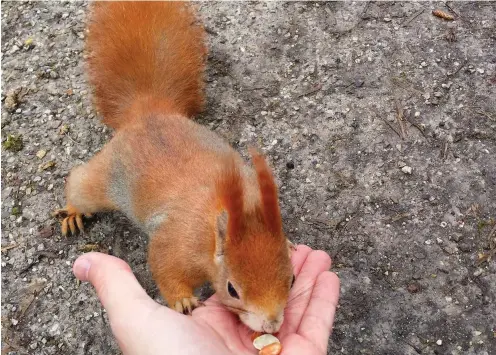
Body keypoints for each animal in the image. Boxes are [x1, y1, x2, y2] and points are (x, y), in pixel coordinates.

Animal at [54, 1, 294, 334]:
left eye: (292, 279)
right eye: (232, 289)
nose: (271, 325)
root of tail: (148, 109)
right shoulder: (177, 243)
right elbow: (164, 265)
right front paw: (182, 301)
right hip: (104, 176)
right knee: (81, 184)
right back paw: (74, 211)